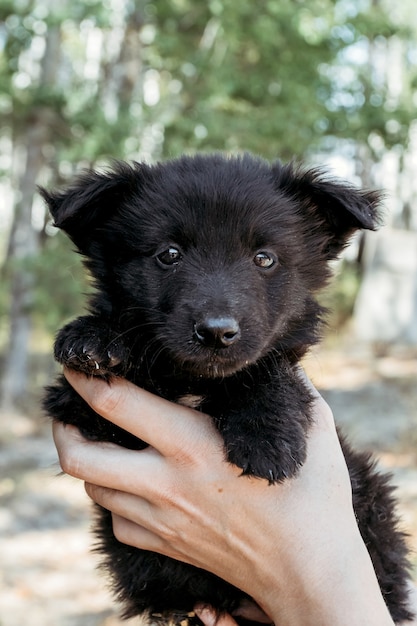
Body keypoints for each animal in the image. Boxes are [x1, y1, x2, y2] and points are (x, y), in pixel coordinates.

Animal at [41, 154, 412, 620]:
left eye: (264, 258)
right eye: (169, 254)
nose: (217, 332)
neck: (195, 380)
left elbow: (272, 369)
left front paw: (266, 435)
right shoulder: (80, 410)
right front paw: (96, 336)